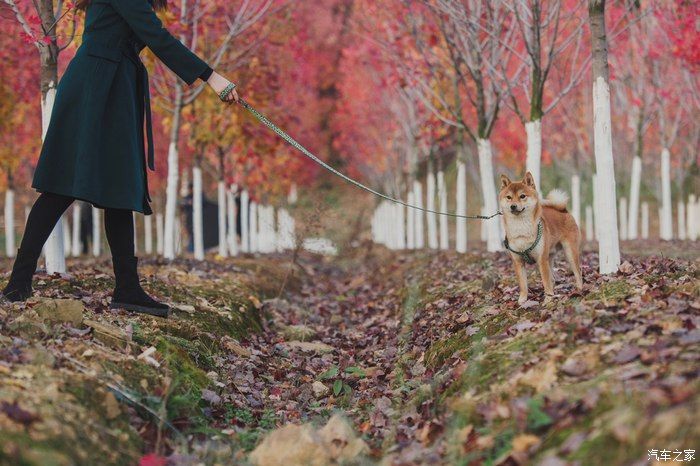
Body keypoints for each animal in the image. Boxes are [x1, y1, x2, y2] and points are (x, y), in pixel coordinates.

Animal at [498, 172, 584, 306]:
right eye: (509, 197)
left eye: (522, 196)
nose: (513, 206)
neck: (521, 230)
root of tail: (564, 211)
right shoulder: (518, 262)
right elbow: (523, 284)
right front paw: (522, 299)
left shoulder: (541, 260)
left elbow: (545, 281)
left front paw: (548, 299)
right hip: (550, 256)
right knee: (552, 278)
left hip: (570, 253)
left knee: (577, 272)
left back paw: (579, 289)